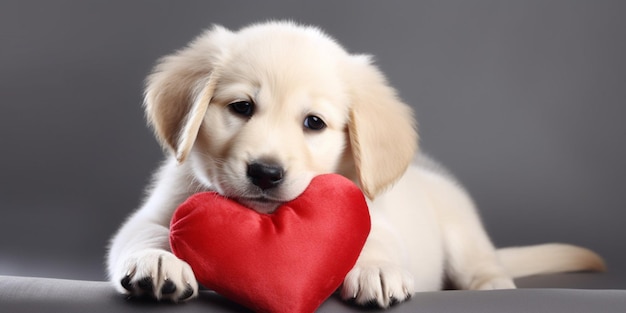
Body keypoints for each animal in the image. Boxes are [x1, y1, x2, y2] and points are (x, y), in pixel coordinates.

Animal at [105, 22, 604, 308]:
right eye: (242, 108)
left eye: (314, 123)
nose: (266, 172)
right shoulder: (158, 210)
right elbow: (146, 233)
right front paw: (158, 263)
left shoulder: (372, 215)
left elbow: (373, 241)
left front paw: (374, 271)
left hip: (462, 234)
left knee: (483, 265)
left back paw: (492, 286)